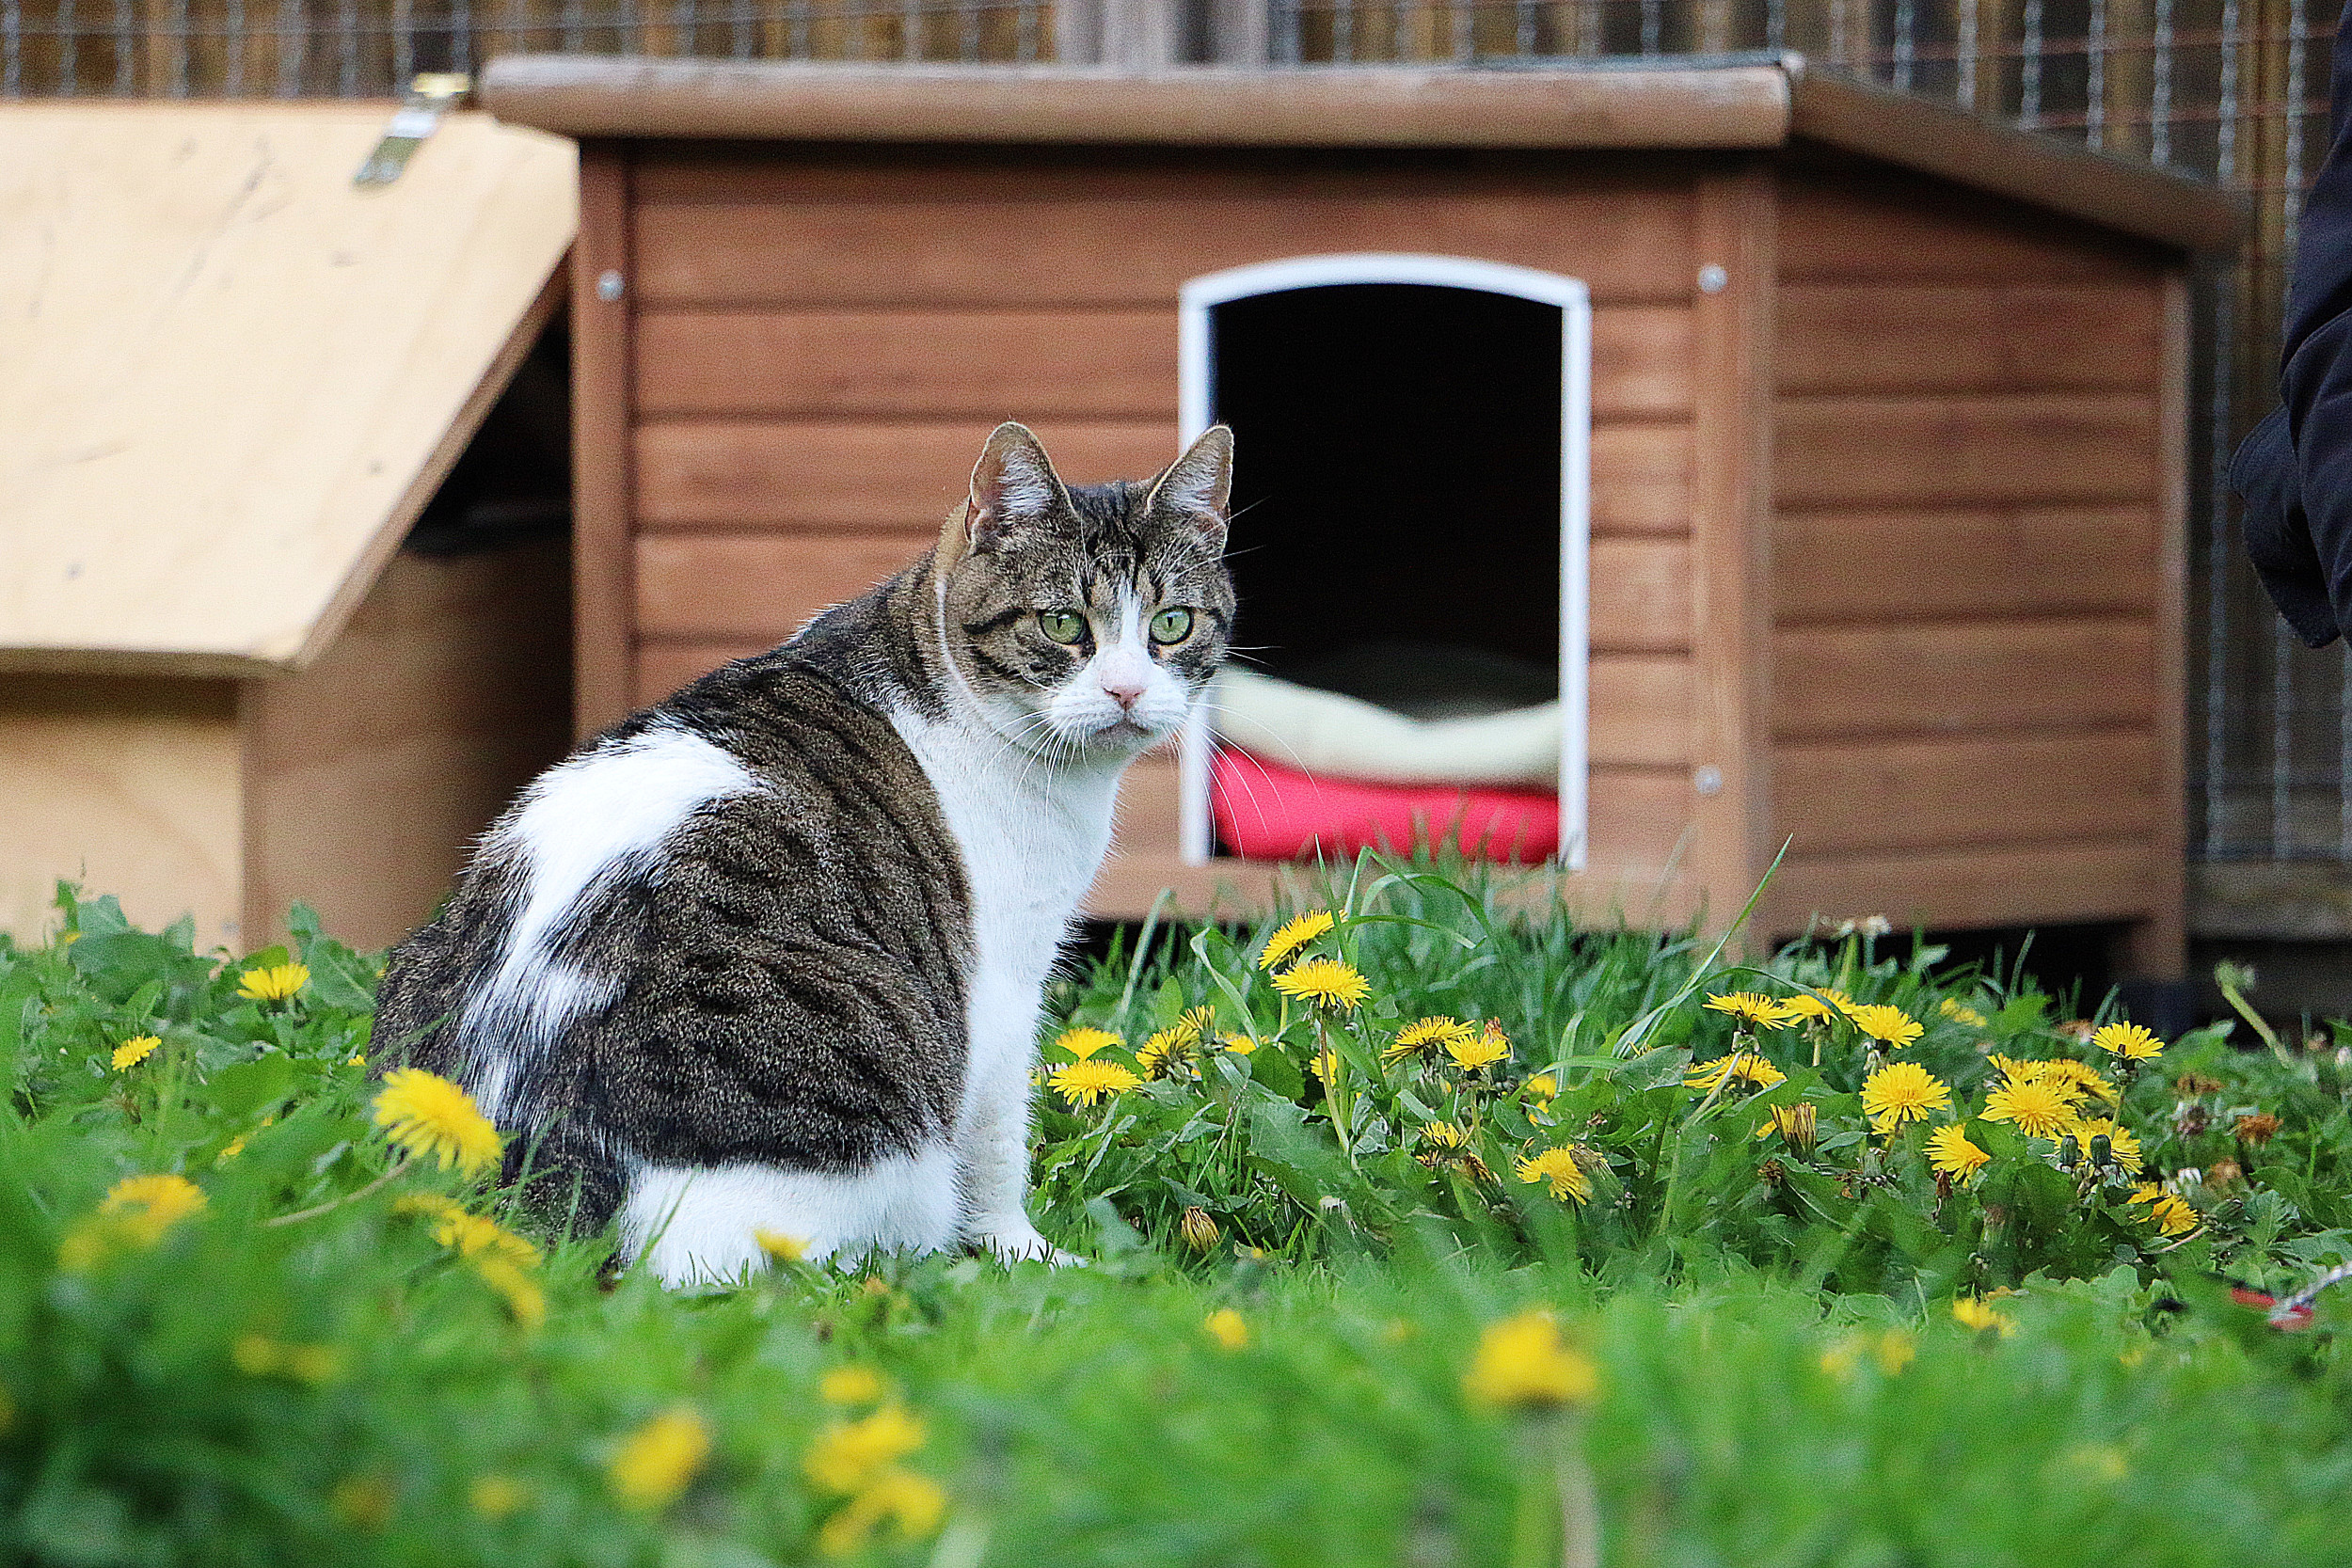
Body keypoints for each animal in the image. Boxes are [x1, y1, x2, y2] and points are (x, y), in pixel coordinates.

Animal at [376, 422, 1242, 1278]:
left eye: (1172, 624)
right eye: (1064, 624)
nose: (1128, 690)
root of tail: (523, 1192)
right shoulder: (1001, 984)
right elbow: (998, 1144)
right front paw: (1027, 1255)